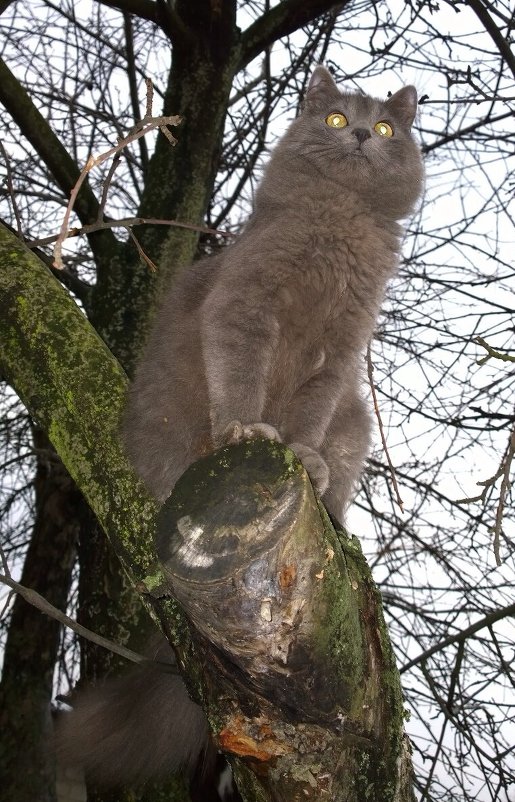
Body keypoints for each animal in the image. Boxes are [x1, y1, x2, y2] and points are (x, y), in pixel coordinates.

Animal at [58, 65, 426, 784]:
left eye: (386, 127)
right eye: (335, 119)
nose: (362, 134)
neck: (339, 221)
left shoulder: (337, 357)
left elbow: (307, 418)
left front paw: (301, 454)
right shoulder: (244, 307)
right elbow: (243, 381)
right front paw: (249, 432)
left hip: (353, 422)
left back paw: (330, 507)